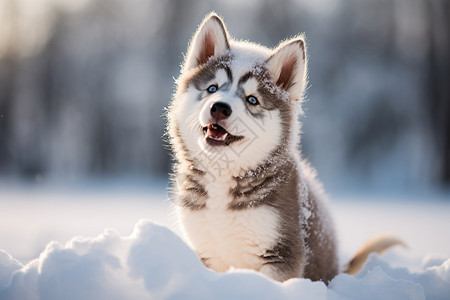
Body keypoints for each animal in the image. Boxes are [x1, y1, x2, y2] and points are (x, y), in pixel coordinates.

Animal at [167, 12, 396, 282]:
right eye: (212, 88)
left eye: (252, 99)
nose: (220, 108)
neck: (224, 177)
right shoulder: (206, 251)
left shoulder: (282, 252)